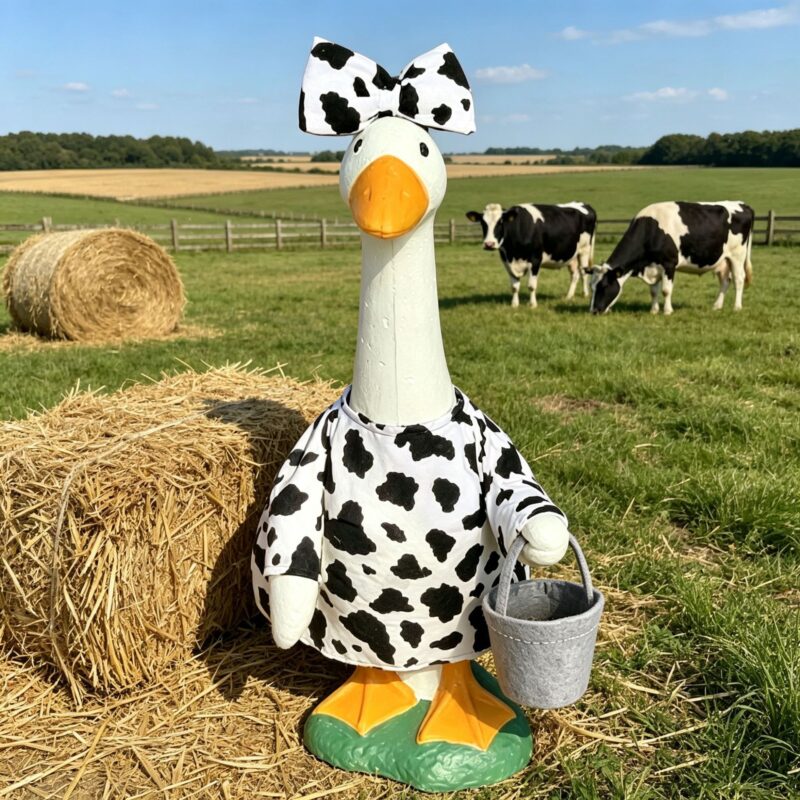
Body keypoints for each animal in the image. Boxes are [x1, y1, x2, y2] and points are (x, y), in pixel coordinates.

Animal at [466, 202, 597, 308]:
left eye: (500, 222)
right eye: (483, 223)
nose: (489, 244)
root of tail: (584, 204)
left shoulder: (535, 260)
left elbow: (531, 285)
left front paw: (533, 304)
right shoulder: (507, 262)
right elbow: (514, 286)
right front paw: (514, 304)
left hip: (585, 250)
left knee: (584, 272)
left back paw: (585, 294)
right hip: (572, 255)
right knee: (574, 274)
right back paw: (569, 296)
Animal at [589, 201, 754, 315]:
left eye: (604, 286)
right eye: (592, 287)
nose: (593, 311)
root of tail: (742, 205)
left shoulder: (669, 264)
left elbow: (666, 290)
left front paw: (667, 311)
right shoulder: (652, 266)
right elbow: (653, 291)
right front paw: (654, 310)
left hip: (737, 256)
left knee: (739, 279)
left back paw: (737, 307)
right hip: (723, 260)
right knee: (725, 281)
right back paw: (717, 306)